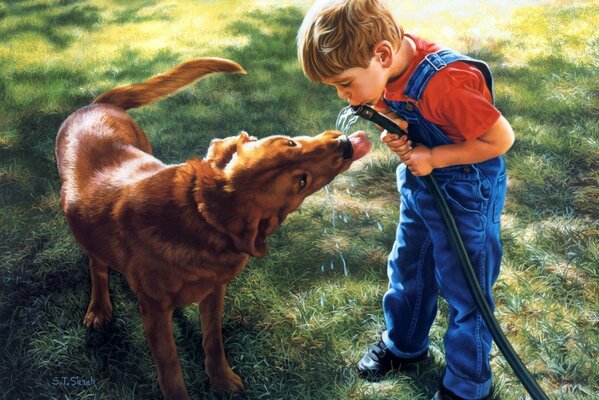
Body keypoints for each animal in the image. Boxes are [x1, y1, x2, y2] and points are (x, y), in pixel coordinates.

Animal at [55, 56, 370, 396]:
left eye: (292, 142)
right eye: (302, 181)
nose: (345, 143)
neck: (199, 215)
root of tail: (95, 104)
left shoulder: (214, 292)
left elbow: (213, 341)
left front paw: (221, 379)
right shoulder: (154, 313)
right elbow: (171, 370)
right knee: (96, 265)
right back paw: (99, 308)